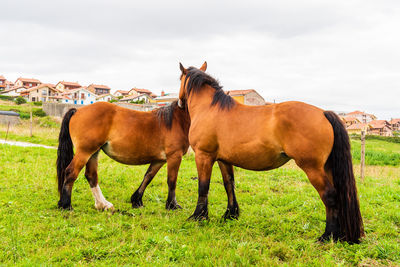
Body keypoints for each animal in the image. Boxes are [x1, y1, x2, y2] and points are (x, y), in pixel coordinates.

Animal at [55, 100, 191, 211]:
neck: (177, 120)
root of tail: (77, 110)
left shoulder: (159, 160)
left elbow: (148, 177)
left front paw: (137, 200)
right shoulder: (174, 156)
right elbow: (172, 180)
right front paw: (172, 205)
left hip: (93, 153)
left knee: (91, 175)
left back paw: (102, 204)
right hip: (84, 152)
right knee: (71, 172)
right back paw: (66, 205)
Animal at [177, 61, 364, 244]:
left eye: (180, 78)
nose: (179, 103)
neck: (210, 109)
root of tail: (324, 113)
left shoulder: (203, 156)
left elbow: (203, 186)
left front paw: (198, 216)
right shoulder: (224, 160)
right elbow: (229, 185)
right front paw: (230, 214)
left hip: (313, 168)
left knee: (329, 195)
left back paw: (327, 235)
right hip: (327, 167)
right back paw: (339, 235)